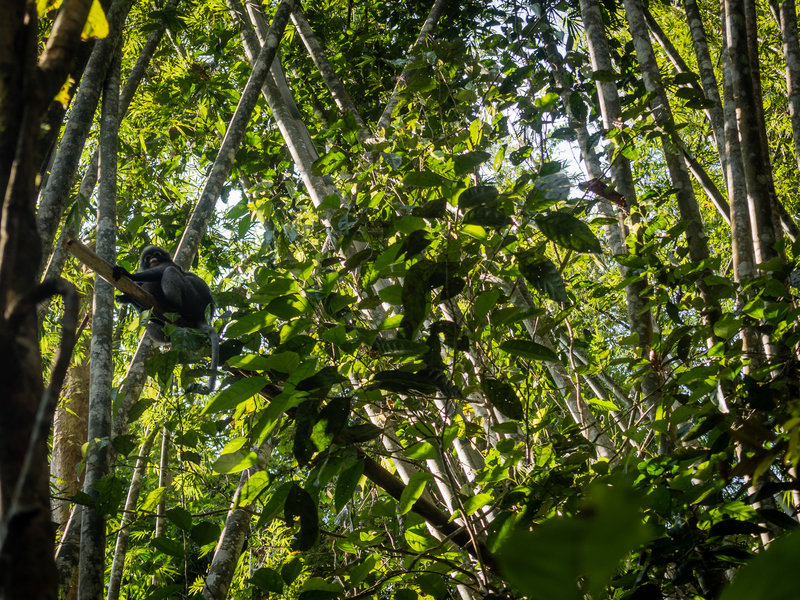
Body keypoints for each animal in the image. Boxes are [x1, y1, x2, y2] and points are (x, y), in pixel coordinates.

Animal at [112, 245, 219, 394]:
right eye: (148, 257)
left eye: (156, 254)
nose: (153, 259)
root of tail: (203, 317)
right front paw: (126, 297)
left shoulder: (168, 263)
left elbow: (160, 271)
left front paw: (127, 273)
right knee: (150, 325)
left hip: (193, 301)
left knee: (169, 272)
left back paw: (171, 304)